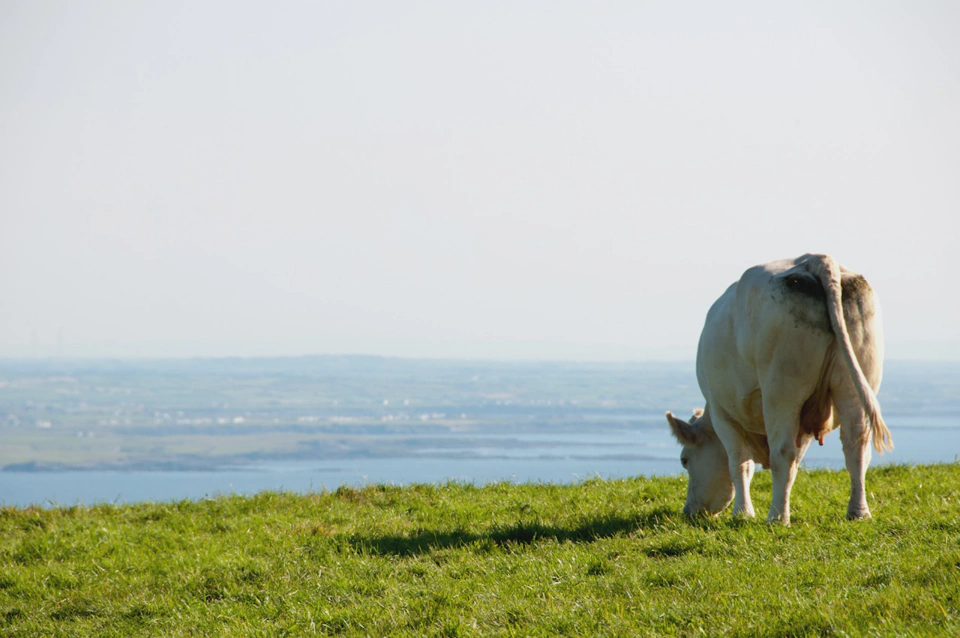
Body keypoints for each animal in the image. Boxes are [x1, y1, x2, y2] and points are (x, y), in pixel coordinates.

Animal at [668, 255, 892, 524]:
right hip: (852, 384)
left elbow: (739, 462)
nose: (689, 510)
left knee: (783, 452)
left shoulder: (722, 411)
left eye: (684, 460)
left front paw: (743, 513)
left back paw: (776, 517)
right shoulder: (805, 421)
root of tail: (814, 259)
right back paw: (858, 512)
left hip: (782, 389)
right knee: (855, 446)